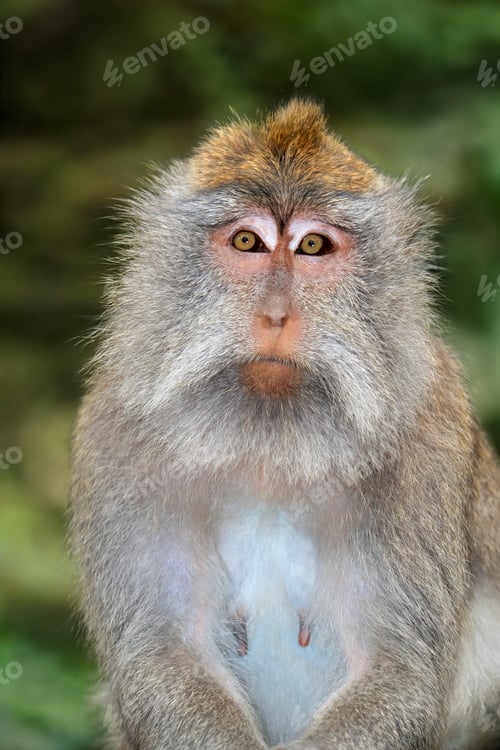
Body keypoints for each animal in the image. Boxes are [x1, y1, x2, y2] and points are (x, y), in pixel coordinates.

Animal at [70, 99, 500, 750]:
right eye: (248, 240)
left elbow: (400, 670)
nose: (275, 315)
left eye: (313, 245)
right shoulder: (117, 439)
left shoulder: (427, 446)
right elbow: (163, 650)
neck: (272, 449)